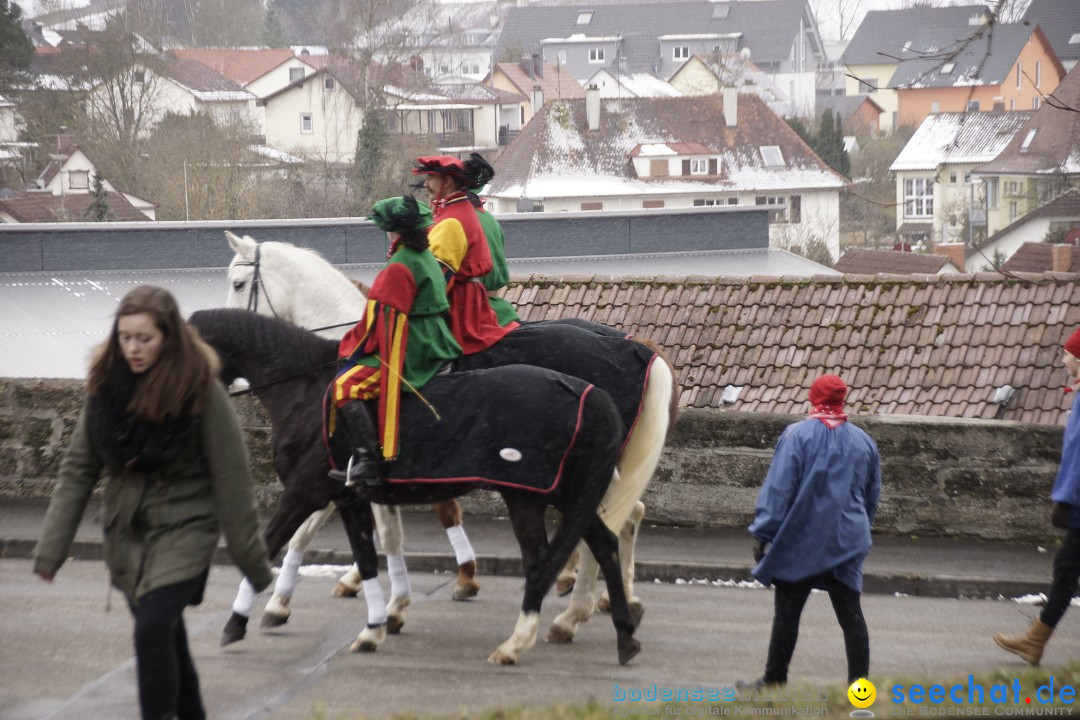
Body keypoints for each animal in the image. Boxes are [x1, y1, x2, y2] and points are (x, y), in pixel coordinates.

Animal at [190, 310, 639, 664]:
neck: (306, 389)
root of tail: (586, 392)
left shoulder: (304, 493)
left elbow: (270, 544)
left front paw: (239, 621)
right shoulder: (348, 498)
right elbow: (369, 557)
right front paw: (374, 626)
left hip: (530, 496)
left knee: (545, 559)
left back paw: (520, 640)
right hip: (566, 494)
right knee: (603, 542)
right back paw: (620, 633)